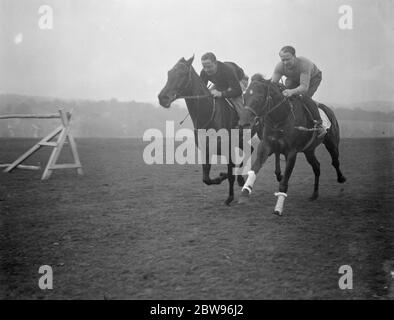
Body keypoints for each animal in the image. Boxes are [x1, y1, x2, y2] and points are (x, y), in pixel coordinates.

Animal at [158, 55, 246, 205]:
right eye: (169, 73)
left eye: (182, 74)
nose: (162, 98)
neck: (210, 113)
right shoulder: (206, 150)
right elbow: (206, 178)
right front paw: (219, 177)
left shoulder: (228, 148)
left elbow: (230, 173)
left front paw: (229, 197)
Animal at [237, 75, 344, 215]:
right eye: (244, 97)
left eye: (258, 98)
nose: (243, 123)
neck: (281, 117)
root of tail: (329, 110)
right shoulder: (266, 145)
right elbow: (255, 169)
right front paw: (245, 192)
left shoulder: (291, 152)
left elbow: (284, 181)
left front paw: (278, 208)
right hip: (309, 150)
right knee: (317, 166)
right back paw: (314, 194)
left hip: (331, 142)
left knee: (335, 161)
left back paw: (341, 179)